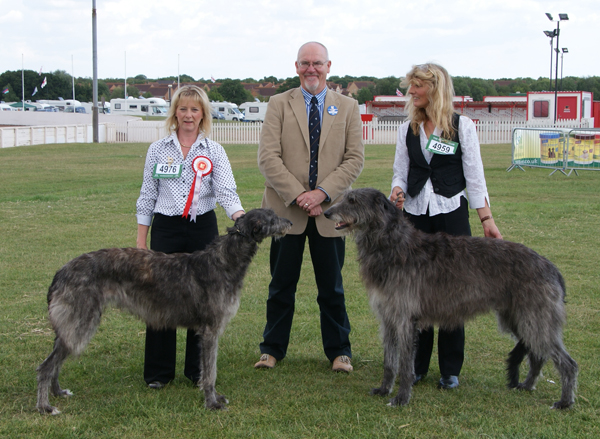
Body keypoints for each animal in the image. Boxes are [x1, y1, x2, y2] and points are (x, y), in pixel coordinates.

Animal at [36, 210, 292, 416]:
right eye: (272, 217)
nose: (289, 222)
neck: (224, 260)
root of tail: (61, 272)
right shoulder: (210, 329)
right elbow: (210, 372)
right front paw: (212, 403)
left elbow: (209, 369)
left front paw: (214, 397)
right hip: (80, 321)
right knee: (46, 366)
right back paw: (45, 407)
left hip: (72, 324)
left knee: (55, 360)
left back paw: (58, 392)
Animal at [326, 188, 580, 410]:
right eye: (346, 197)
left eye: (352, 200)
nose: (327, 213)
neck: (392, 244)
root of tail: (550, 267)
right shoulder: (388, 318)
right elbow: (390, 362)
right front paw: (383, 390)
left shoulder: (405, 319)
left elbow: (405, 365)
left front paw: (401, 398)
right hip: (518, 319)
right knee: (537, 354)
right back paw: (527, 386)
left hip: (535, 318)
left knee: (567, 363)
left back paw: (564, 402)